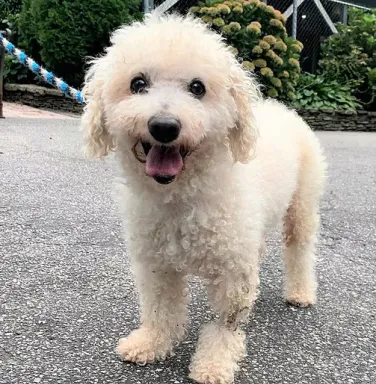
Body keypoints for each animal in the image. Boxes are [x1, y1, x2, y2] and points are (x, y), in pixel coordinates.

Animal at [81, 12, 326, 384]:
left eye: (197, 88)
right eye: (138, 83)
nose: (164, 126)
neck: (181, 197)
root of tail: (281, 108)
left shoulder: (233, 273)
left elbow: (225, 324)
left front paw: (213, 362)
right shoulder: (157, 264)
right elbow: (160, 309)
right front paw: (151, 342)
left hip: (302, 204)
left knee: (300, 249)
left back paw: (300, 292)